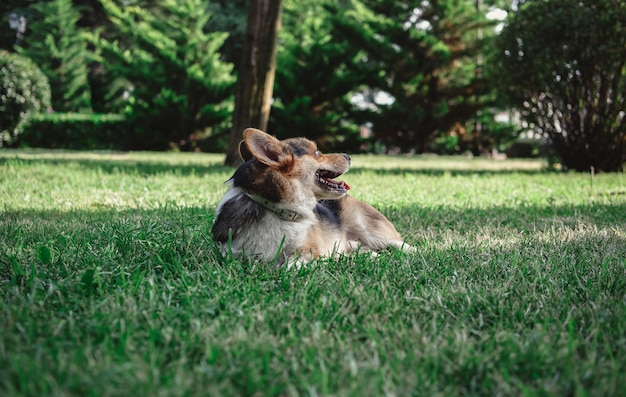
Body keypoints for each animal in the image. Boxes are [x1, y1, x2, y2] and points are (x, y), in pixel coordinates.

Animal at [212, 127, 412, 266]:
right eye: (317, 153)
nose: (349, 155)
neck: (275, 209)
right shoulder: (232, 253)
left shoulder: (308, 249)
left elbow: (291, 266)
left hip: (372, 231)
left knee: (399, 244)